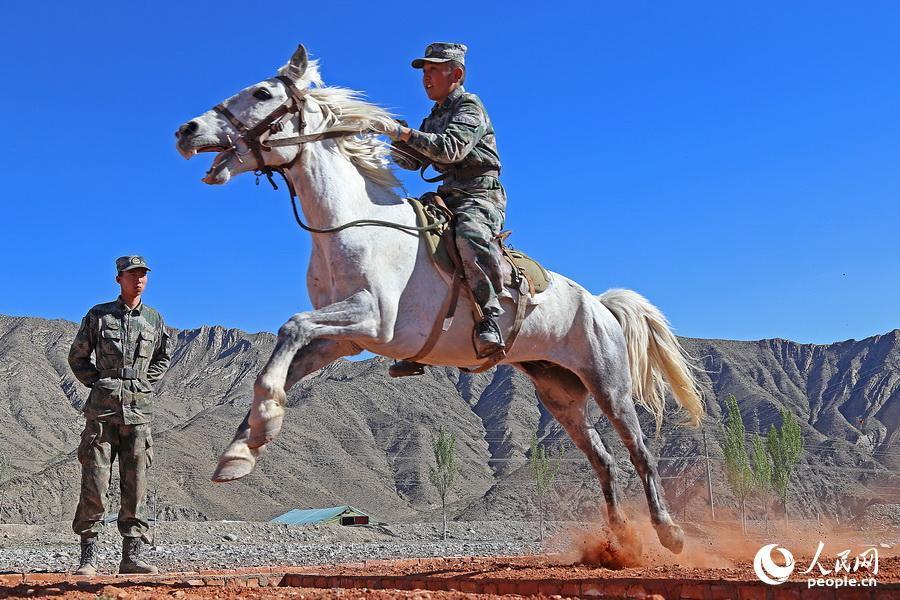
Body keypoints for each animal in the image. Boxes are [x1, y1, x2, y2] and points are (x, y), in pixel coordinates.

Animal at [178, 44, 704, 556]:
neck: (354, 225)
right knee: (604, 461)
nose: (186, 131)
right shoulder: (346, 339)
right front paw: (240, 452)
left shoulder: (373, 320)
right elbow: (286, 359)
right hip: (560, 395)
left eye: (262, 93)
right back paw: (619, 542)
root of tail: (598, 303)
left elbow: (291, 326)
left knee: (640, 452)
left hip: (609, 385)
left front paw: (261, 426)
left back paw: (669, 534)